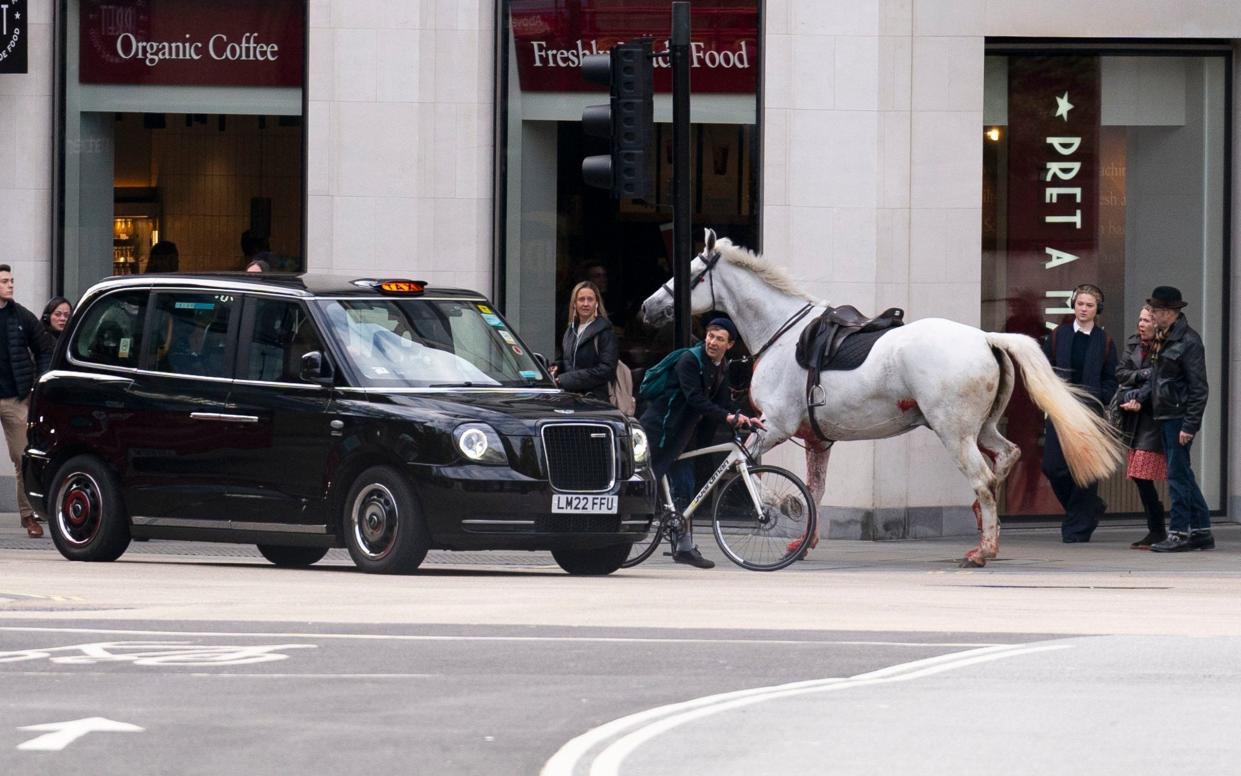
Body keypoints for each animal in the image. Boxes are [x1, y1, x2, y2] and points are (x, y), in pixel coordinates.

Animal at [640, 229, 1126, 563]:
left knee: (983, 479)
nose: (647, 307)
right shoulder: (816, 440)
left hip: (954, 434)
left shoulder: (771, 426)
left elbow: (745, 471)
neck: (782, 332)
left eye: (689, 274)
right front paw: (804, 538)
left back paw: (983, 550)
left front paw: (780, 508)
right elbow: (814, 488)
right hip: (982, 429)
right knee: (1007, 457)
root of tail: (986, 337)